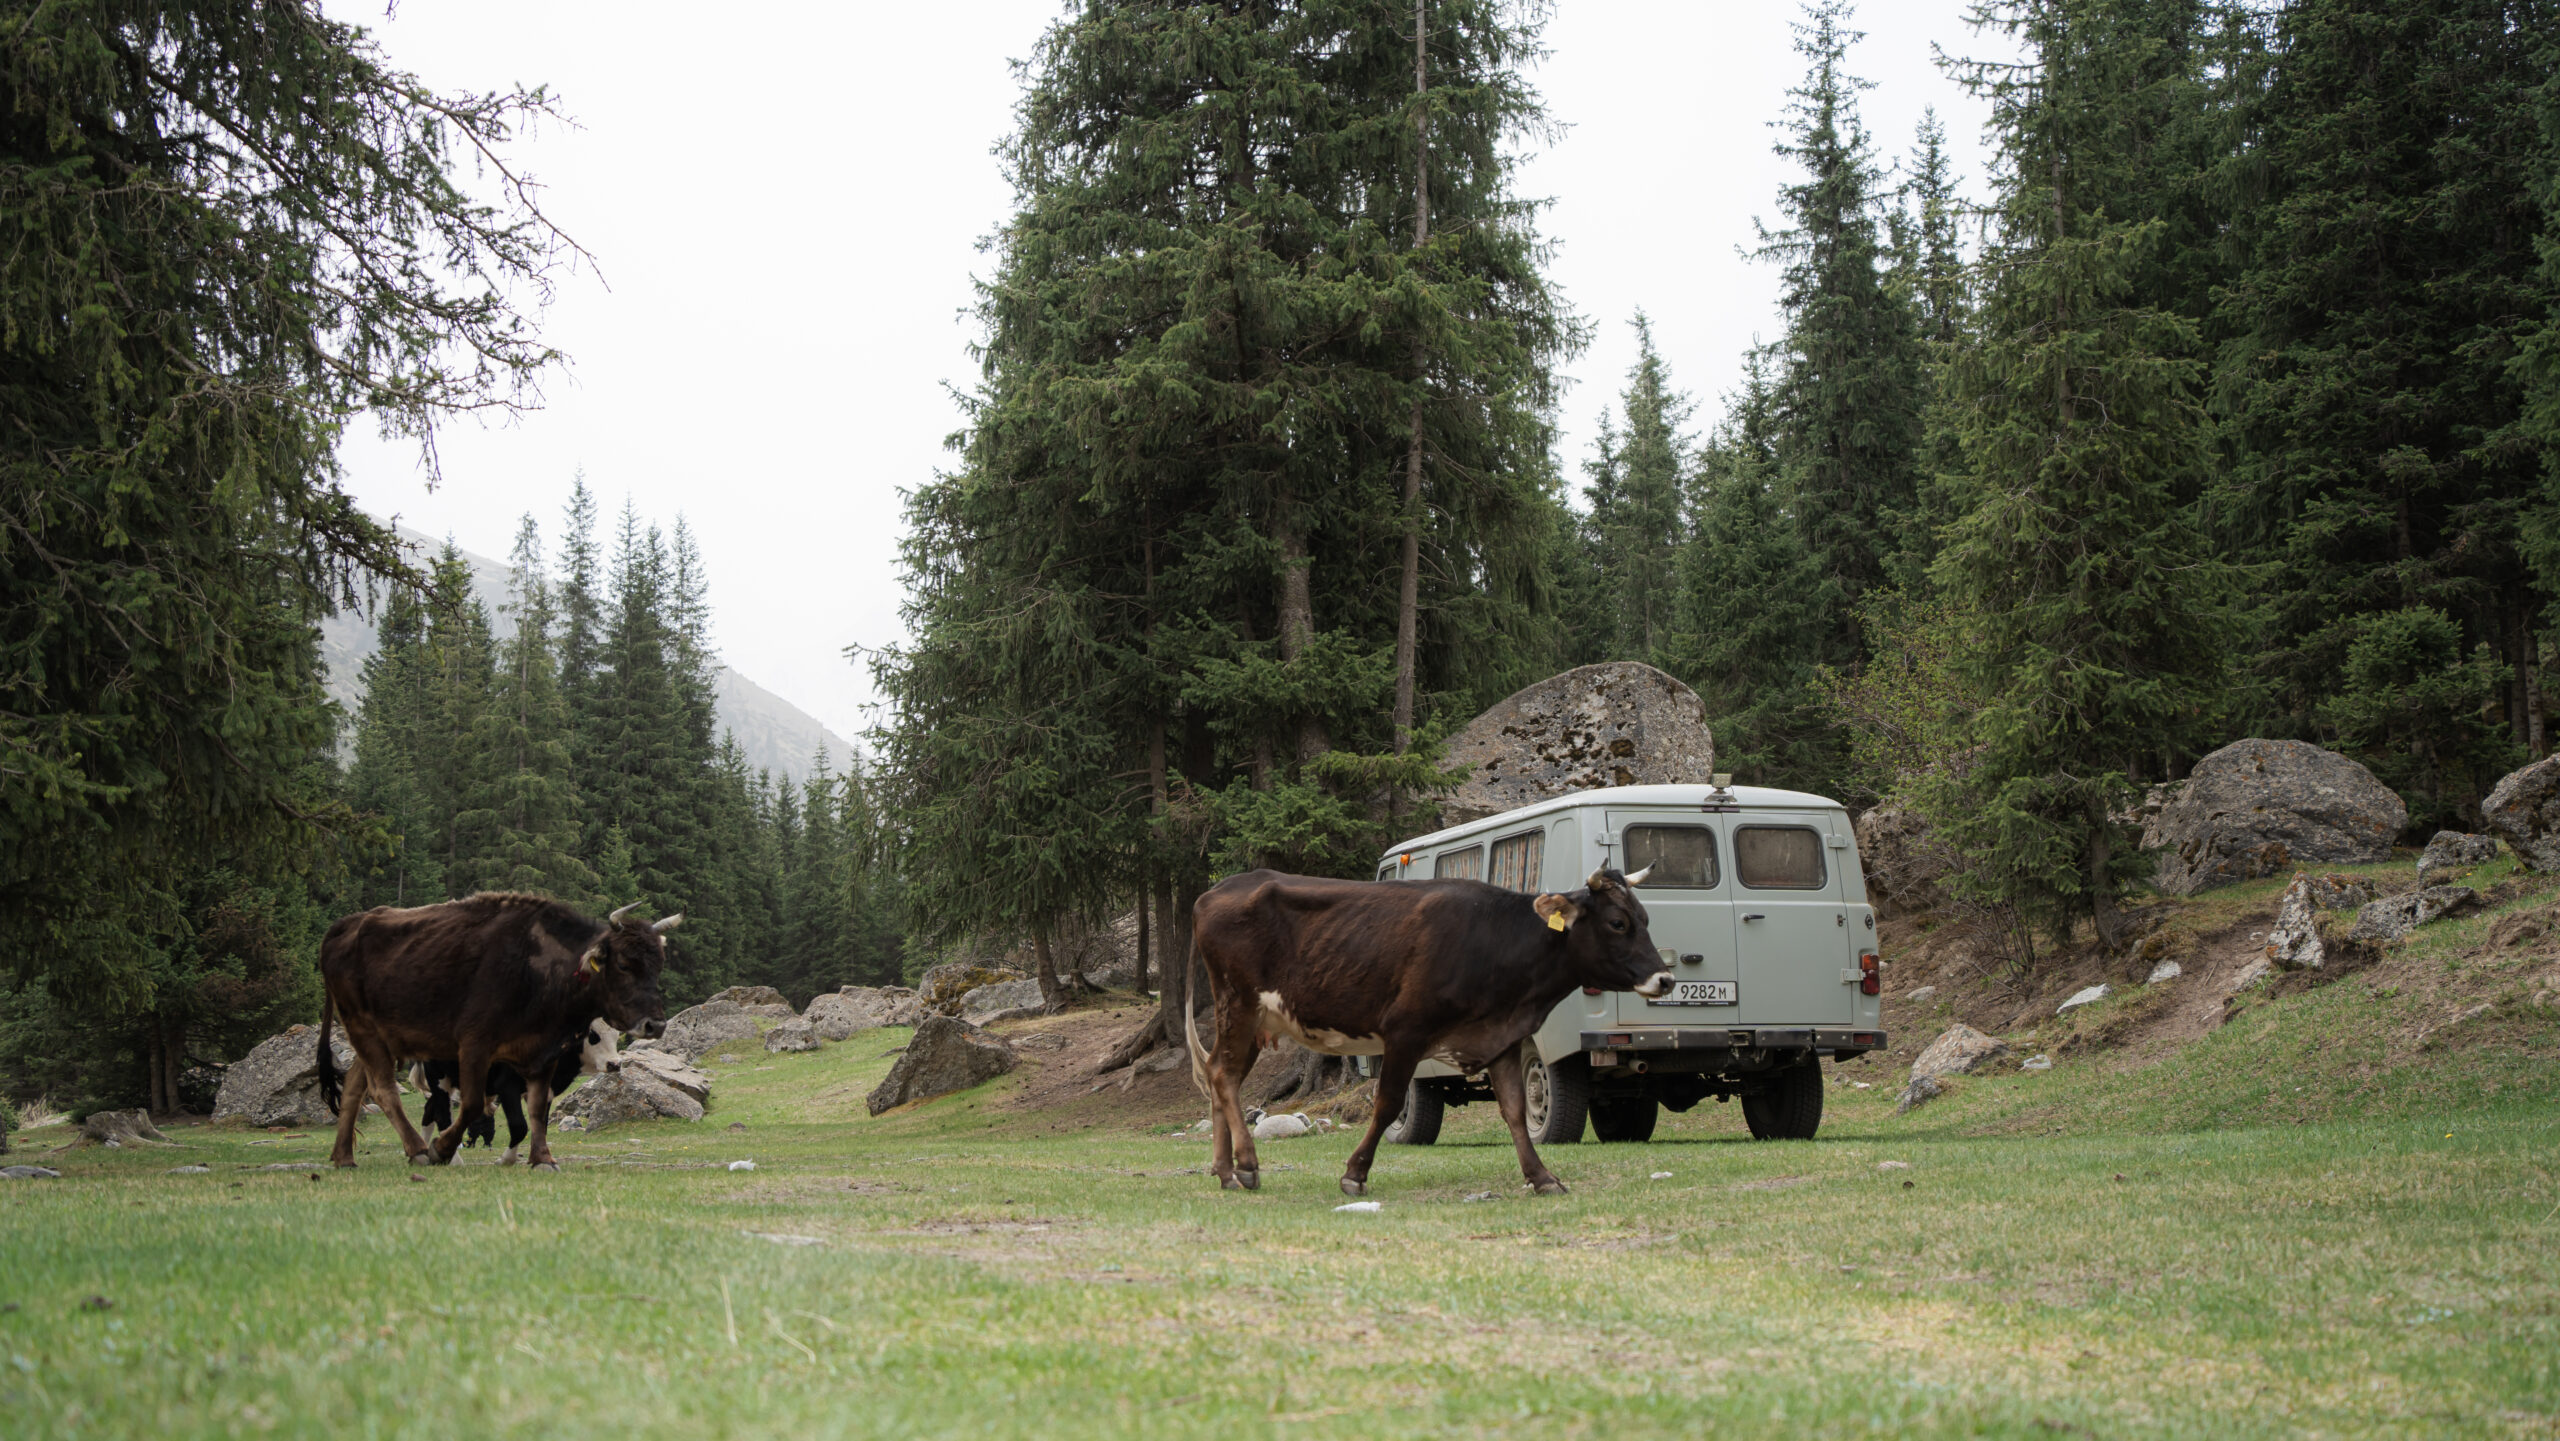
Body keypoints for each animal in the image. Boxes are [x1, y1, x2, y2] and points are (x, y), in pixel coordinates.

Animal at [414, 1017, 623, 1164]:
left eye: (616, 1034)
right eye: (593, 1035)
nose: (614, 1064)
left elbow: (541, 1126)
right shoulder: (507, 1086)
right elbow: (519, 1126)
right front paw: (506, 1160)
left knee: (429, 1111)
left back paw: (422, 1153)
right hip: (438, 1076)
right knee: (442, 1115)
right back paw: (453, 1159)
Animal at [1185, 866, 1673, 1197]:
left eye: (1647, 919)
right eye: (1617, 923)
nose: (1665, 979)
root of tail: (1216, 890)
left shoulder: (1502, 1039)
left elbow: (1515, 1111)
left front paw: (1541, 1176)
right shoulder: (1405, 1032)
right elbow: (1386, 1104)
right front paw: (1355, 1174)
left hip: (1251, 1021)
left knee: (1218, 1073)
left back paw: (1225, 1171)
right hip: (1239, 1005)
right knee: (1223, 1076)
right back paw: (1247, 1165)